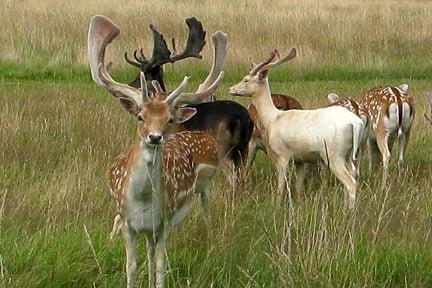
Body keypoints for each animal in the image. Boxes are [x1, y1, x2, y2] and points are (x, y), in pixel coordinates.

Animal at [86, 15, 224, 286]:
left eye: (168, 119)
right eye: (140, 116)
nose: (155, 136)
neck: (142, 201)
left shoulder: (163, 222)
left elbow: (160, 265)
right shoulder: (127, 222)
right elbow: (130, 266)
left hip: (198, 194)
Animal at [122, 18, 253, 184]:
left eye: (145, 74)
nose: (129, 85)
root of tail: (241, 119)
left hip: (224, 149)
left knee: (233, 178)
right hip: (244, 149)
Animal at [230, 49, 364, 207]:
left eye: (246, 79)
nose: (231, 89)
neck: (272, 120)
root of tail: (356, 124)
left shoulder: (282, 155)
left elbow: (281, 187)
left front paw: (277, 206)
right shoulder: (300, 159)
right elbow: (299, 187)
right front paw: (300, 203)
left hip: (334, 154)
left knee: (350, 182)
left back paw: (349, 210)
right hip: (348, 154)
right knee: (354, 173)